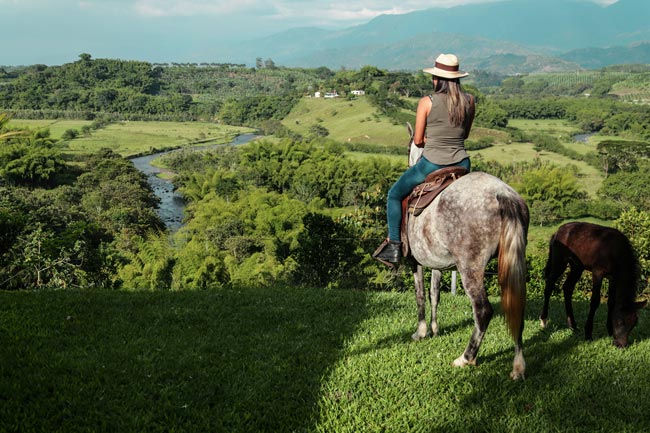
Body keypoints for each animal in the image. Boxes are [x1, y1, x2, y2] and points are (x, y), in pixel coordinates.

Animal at [402, 122, 528, 378]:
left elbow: (420, 295)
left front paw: (421, 332)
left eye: (406, 149)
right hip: (513, 262)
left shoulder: (415, 262)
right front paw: (435, 329)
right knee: (516, 306)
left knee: (482, 310)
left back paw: (466, 357)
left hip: (470, 268)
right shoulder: (437, 263)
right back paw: (518, 366)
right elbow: (435, 294)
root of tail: (503, 195)